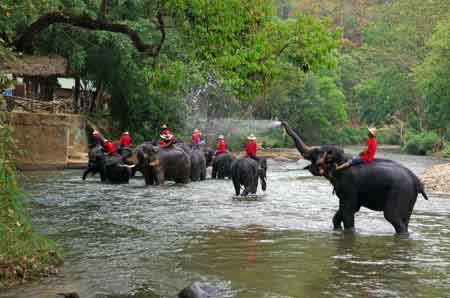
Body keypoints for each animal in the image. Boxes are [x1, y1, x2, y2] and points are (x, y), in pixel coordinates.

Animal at [282, 120, 428, 234]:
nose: (282, 122)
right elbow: (341, 212)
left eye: (317, 152)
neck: (341, 159)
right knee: (405, 219)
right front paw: (337, 230)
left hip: (400, 192)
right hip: (409, 197)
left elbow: (349, 209)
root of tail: (417, 181)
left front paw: (349, 232)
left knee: (392, 216)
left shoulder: (348, 183)